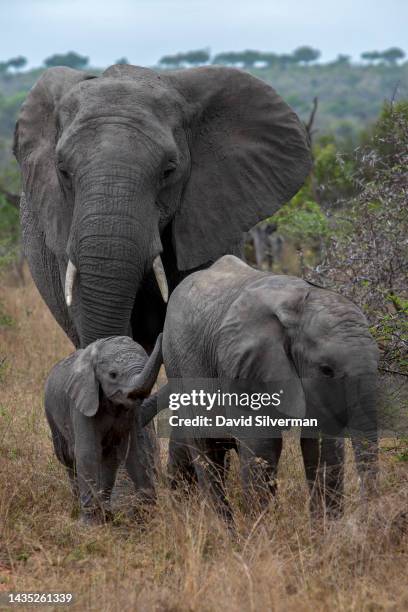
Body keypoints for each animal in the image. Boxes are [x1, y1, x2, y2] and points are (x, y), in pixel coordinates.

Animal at [44, 332, 163, 524]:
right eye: (113, 375)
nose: (162, 334)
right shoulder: (82, 401)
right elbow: (87, 453)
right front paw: (90, 524)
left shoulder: (132, 412)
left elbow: (136, 451)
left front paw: (146, 516)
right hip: (51, 412)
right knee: (67, 456)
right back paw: (78, 506)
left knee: (110, 458)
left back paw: (107, 513)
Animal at [163, 256, 380, 520]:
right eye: (326, 369)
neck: (299, 307)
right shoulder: (244, 369)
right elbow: (262, 445)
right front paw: (262, 528)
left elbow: (323, 446)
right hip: (179, 365)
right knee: (206, 449)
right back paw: (224, 528)